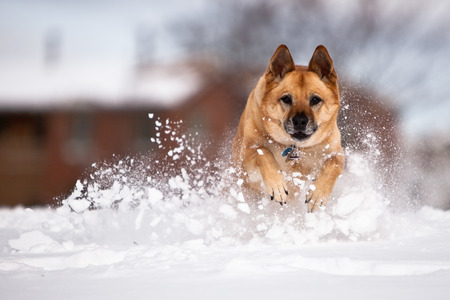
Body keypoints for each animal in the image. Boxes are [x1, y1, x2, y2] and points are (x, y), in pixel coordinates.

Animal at [232, 45, 344, 213]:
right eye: (286, 99)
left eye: (315, 99)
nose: (300, 121)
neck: (295, 147)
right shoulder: (247, 152)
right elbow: (263, 151)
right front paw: (277, 186)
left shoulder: (336, 151)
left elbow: (334, 163)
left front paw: (317, 195)